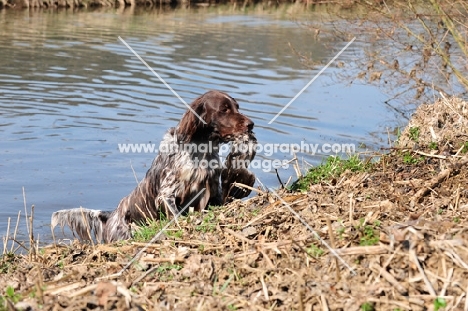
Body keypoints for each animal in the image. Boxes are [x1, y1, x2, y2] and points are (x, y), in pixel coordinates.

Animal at [52, 90, 256, 244]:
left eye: (237, 107)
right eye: (224, 109)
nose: (251, 124)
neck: (201, 151)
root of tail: (111, 215)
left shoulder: (212, 190)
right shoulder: (166, 194)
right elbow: (175, 213)